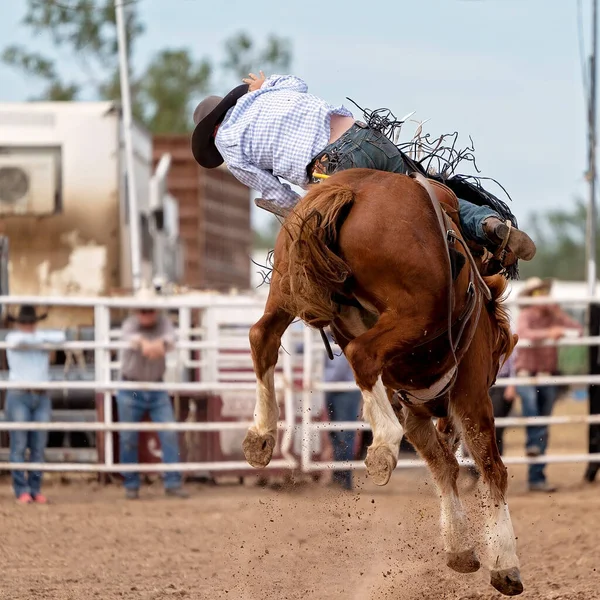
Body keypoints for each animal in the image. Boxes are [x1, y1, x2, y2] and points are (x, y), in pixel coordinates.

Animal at [244, 168, 524, 596]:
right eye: (497, 354)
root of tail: (352, 187)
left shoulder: (414, 409)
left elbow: (444, 466)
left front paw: (460, 550)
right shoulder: (471, 394)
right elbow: (491, 467)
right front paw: (505, 566)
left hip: (286, 287)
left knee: (263, 337)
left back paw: (261, 436)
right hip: (414, 312)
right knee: (362, 354)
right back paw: (382, 447)